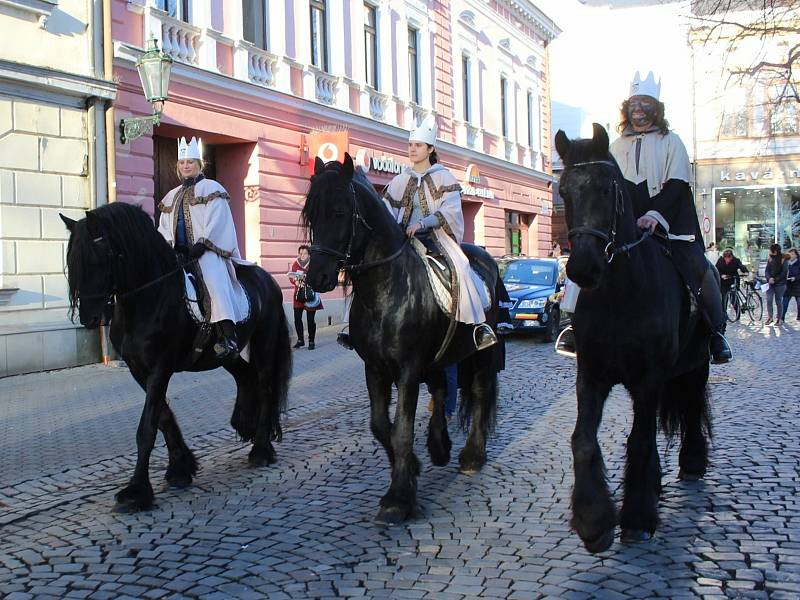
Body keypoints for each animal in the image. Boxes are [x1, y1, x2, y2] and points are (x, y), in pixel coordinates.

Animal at [60, 203, 290, 510]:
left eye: (98, 260)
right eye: (72, 262)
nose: (90, 318)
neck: (148, 297)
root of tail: (269, 280)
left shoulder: (160, 367)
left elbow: (147, 427)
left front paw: (137, 491)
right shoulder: (139, 369)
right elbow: (163, 417)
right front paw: (181, 468)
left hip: (264, 342)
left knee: (265, 388)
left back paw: (261, 450)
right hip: (225, 356)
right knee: (245, 376)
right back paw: (244, 424)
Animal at [304, 156, 504, 524]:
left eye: (339, 211)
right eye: (311, 215)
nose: (316, 278)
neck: (387, 288)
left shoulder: (408, 370)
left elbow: (400, 430)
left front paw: (398, 499)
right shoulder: (375, 369)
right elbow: (380, 425)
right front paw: (411, 468)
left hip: (481, 354)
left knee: (480, 394)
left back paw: (472, 456)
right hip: (440, 357)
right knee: (441, 387)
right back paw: (439, 447)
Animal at [556, 125, 712, 552]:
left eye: (607, 188)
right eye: (563, 191)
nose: (582, 267)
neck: (619, 295)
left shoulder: (649, 379)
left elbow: (639, 441)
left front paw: (637, 517)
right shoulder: (592, 375)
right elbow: (583, 440)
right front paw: (594, 521)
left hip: (697, 366)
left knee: (692, 406)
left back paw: (692, 462)